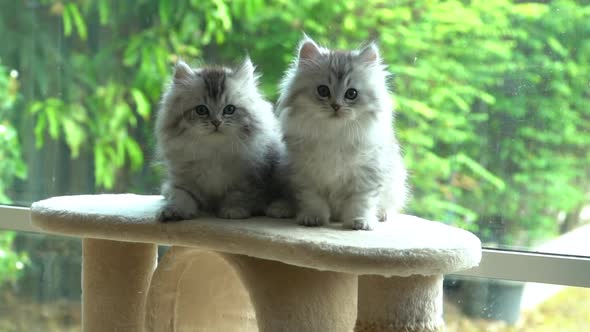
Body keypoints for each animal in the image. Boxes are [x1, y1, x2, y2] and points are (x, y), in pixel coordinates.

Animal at [155, 58, 290, 222]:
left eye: (229, 110)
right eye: (201, 110)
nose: (216, 122)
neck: (214, 152)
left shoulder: (247, 181)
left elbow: (236, 195)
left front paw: (233, 211)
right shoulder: (183, 182)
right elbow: (180, 196)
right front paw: (172, 211)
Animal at [276, 37, 408, 230]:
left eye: (351, 94)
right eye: (323, 91)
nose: (336, 106)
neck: (334, 132)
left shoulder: (366, 175)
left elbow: (361, 202)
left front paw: (360, 222)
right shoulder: (305, 175)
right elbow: (312, 200)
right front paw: (313, 218)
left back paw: (381, 215)